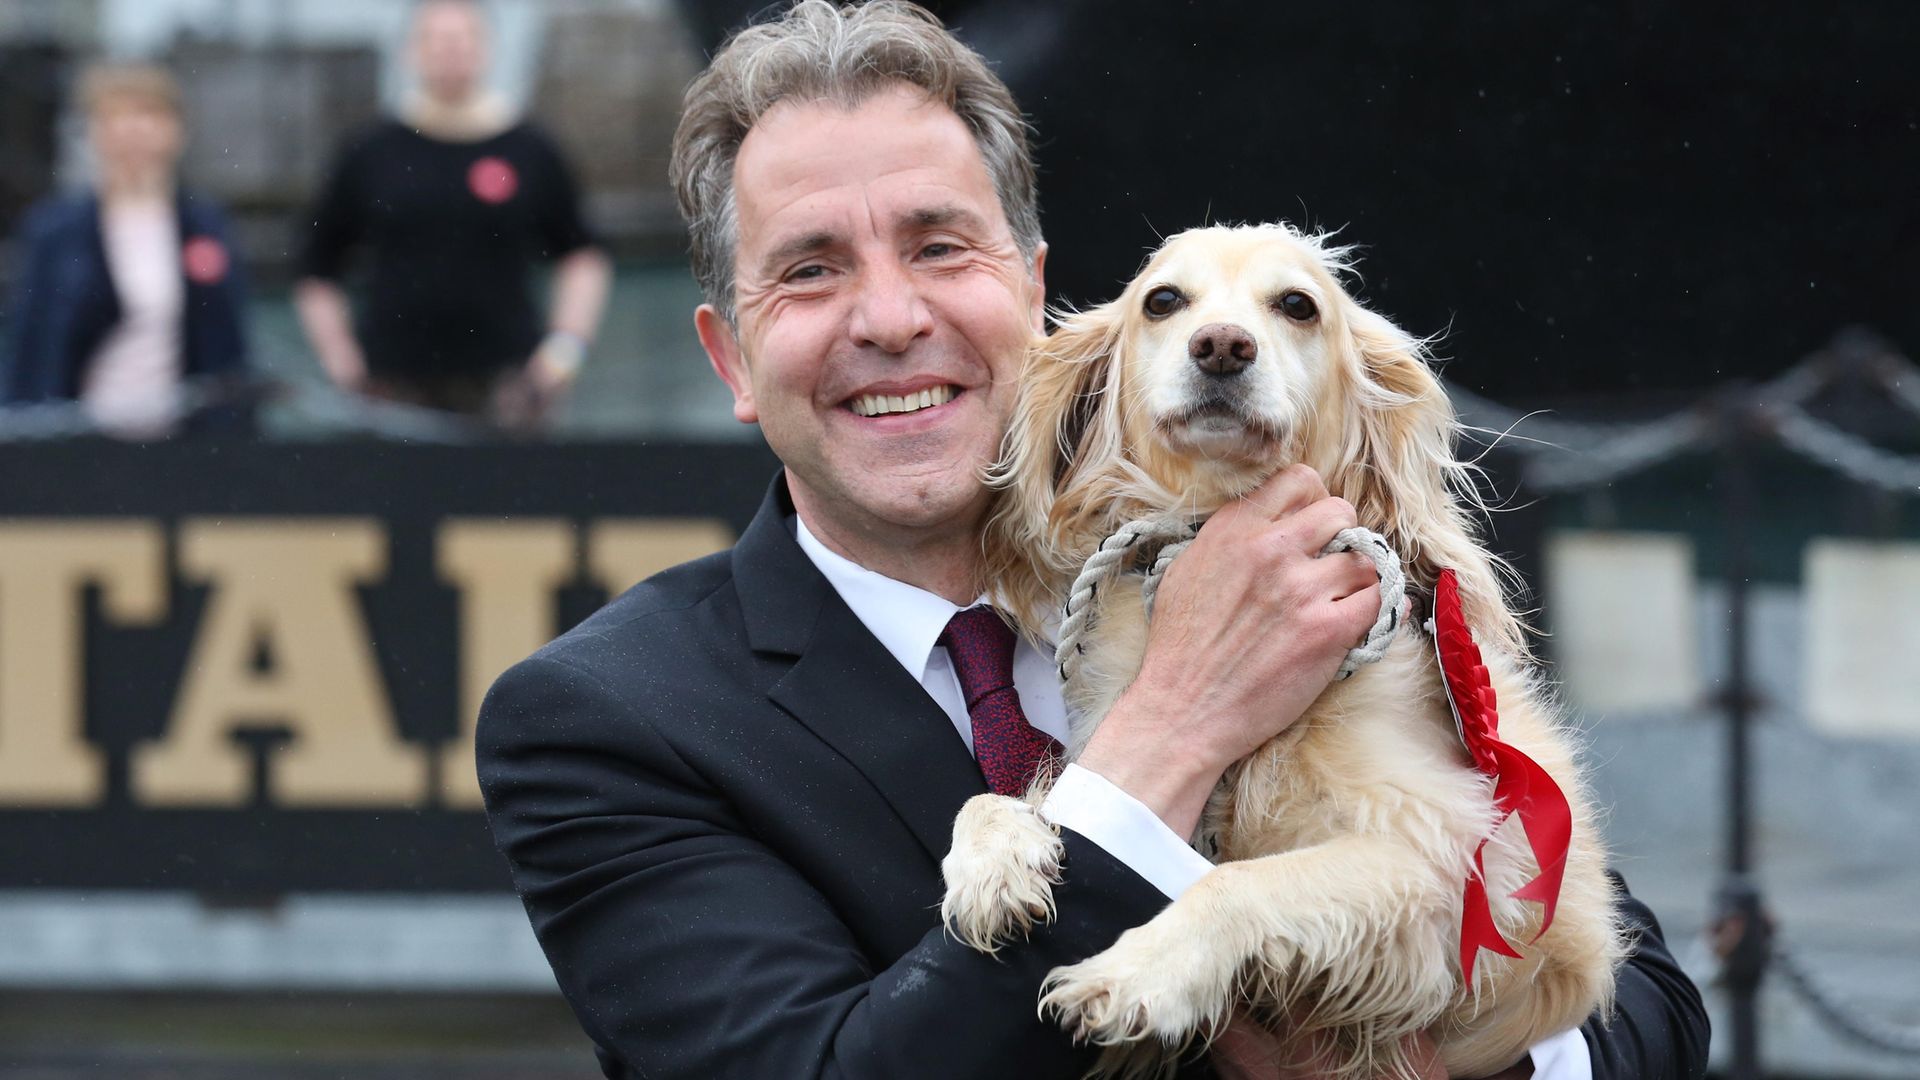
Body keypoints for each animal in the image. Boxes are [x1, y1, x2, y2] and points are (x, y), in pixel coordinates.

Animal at [936, 220, 1628, 1076]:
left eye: (1298, 305)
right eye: (1163, 300)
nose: (1222, 346)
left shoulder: (1444, 865)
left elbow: (1235, 884)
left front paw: (1136, 973)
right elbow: (1003, 798)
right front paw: (992, 865)